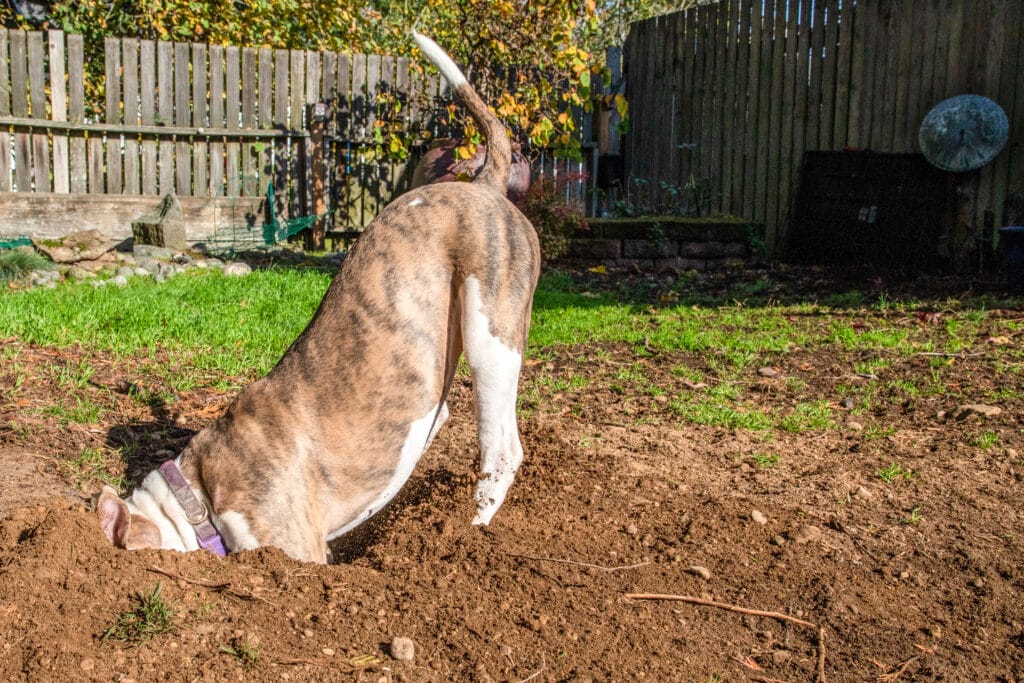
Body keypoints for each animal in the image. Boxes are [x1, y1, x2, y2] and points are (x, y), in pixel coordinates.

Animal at [96, 31, 544, 565]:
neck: (197, 496)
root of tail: (483, 186)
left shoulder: (293, 545)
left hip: (492, 339)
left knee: (502, 448)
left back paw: (470, 529)